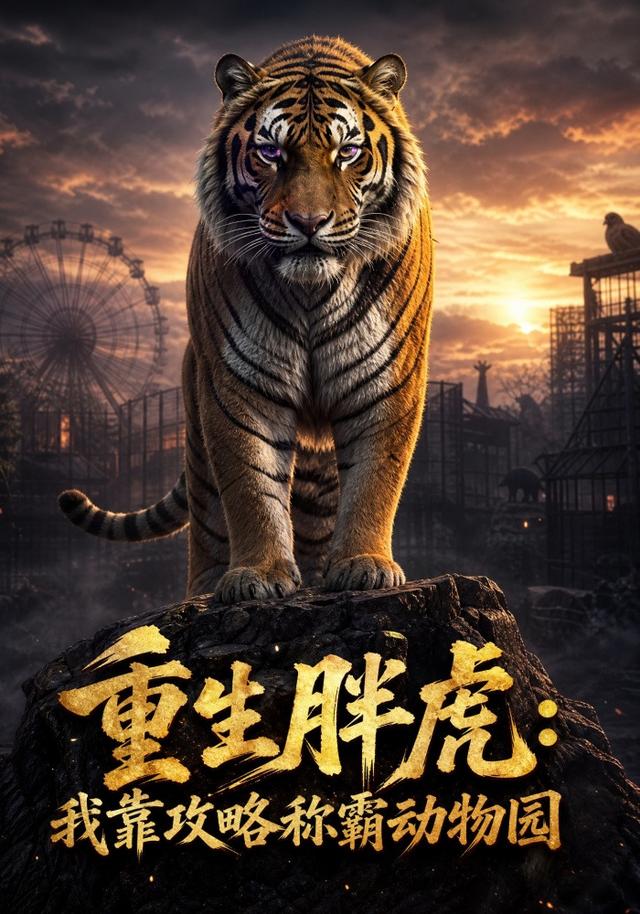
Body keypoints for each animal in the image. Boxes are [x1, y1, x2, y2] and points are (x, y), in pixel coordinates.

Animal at [59, 35, 434, 605]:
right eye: (270, 153)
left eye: (347, 152)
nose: (308, 222)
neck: (311, 291)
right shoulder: (238, 381)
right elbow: (250, 485)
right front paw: (258, 574)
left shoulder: (388, 377)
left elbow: (376, 476)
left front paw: (364, 564)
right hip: (197, 436)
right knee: (210, 519)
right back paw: (205, 589)